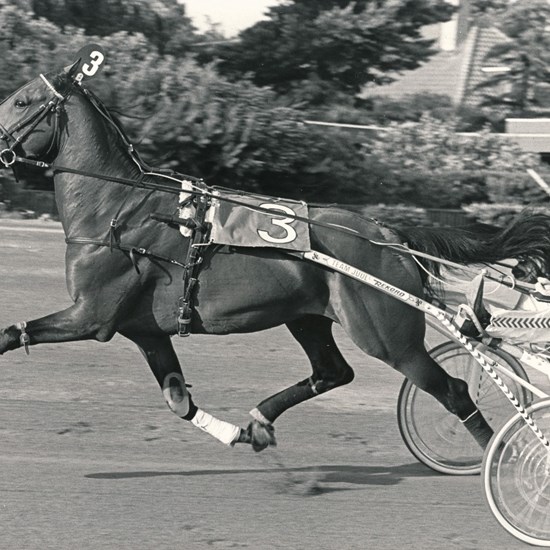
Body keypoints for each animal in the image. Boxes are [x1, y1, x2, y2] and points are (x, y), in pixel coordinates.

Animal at [1, 61, 550, 452]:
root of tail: (385, 233)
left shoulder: (91, 315)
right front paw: (238, 433)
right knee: (334, 372)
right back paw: (260, 421)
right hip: (307, 316)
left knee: (452, 390)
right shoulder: (145, 329)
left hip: (389, 337)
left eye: (22, 100)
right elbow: (178, 400)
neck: (118, 207)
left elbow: (10, 333)